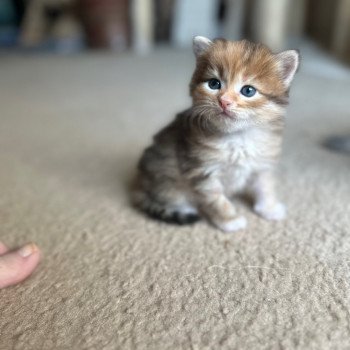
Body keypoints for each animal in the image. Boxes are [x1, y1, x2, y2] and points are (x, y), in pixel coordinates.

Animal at [131, 36, 298, 232]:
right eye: (214, 84)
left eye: (248, 90)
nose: (224, 101)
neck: (237, 138)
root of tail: (139, 183)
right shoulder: (203, 171)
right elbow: (217, 200)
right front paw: (230, 220)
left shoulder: (262, 164)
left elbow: (265, 186)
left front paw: (269, 208)